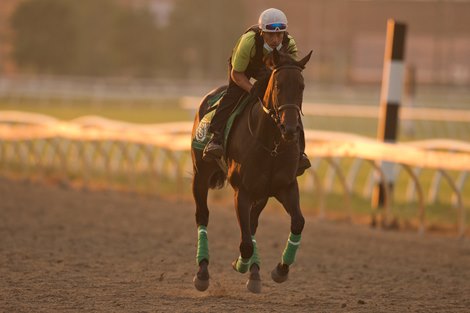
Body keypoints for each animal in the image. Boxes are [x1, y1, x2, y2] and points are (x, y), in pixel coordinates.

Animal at [191, 48, 312, 292]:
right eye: (278, 85)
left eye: (301, 86)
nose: (291, 129)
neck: (272, 144)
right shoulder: (242, 191)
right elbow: (245, 243)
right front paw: (241, 263)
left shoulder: (285, 186)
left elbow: (297, 222)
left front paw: (280, 269)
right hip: (200, 176)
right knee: (203, 216)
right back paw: (203, 271)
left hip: (262, 194)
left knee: (253, 224)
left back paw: (255, 273)